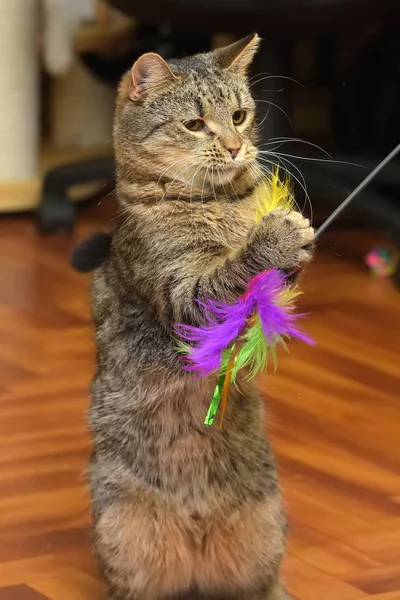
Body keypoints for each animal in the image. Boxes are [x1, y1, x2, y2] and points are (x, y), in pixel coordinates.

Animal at [86, 34, 312, 600]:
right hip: (123, 530)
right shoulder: (185, 297)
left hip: (263, 530)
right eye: (194, 123)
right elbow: (229, 279)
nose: (235, 148)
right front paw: (275, 235)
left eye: (239, 116)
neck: (218, 203)